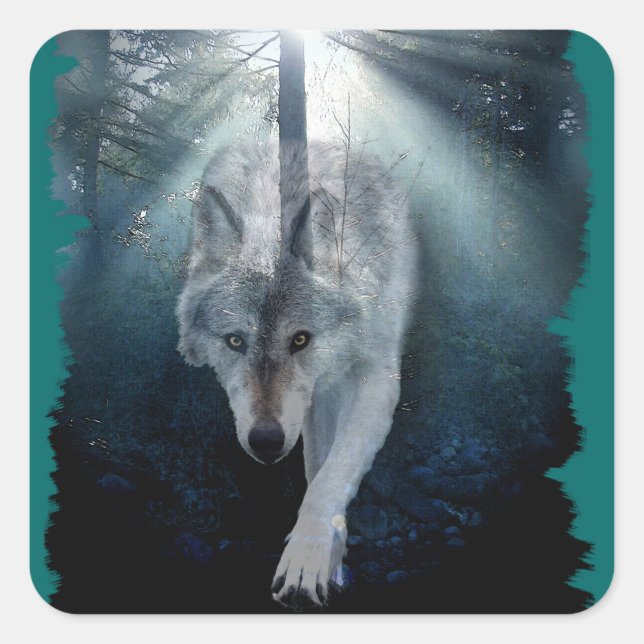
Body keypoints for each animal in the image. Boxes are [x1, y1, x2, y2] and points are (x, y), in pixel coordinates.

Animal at [176, 139, 418, 608]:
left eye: (301, 339)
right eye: (236, 342)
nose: (266, 442)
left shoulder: (374, 381)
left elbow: (330, 480)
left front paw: (308, 562)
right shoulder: (311, 404)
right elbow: (317, 472)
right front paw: (328, 559)